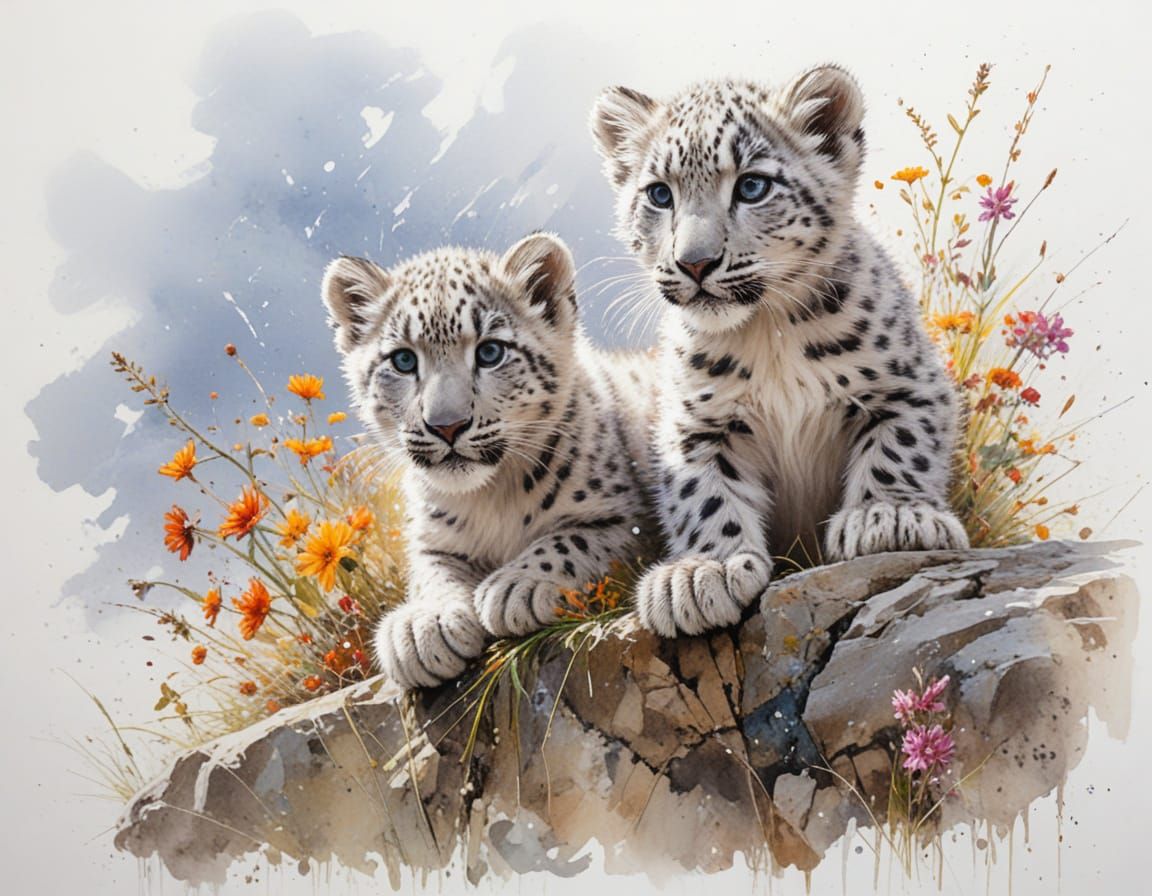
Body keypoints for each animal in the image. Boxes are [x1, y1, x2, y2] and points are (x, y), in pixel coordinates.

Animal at [322, 233, 655, 687]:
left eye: (491, 352)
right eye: (403, 360)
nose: (447, 426)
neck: (490, 495)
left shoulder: (622, 517)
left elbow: (570, 540)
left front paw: (515, 586)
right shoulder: (433, 540)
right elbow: (430, 575)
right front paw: (423, 626)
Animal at [589, 65, 969, 638]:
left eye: (752, 185)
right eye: (659, 194)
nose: (694, 262)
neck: (768, 335)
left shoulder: (906, 383)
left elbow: (900, 445)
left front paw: (891, 516)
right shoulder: (697, 422)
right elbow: (701, 491)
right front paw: (704, 572)